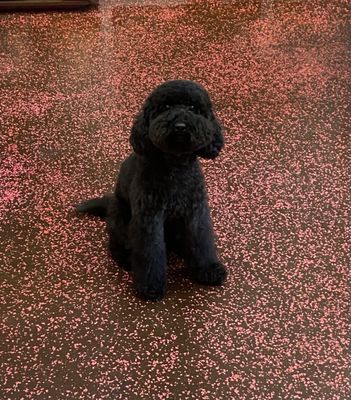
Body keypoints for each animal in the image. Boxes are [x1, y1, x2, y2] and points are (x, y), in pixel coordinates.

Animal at [77, 79, 228, 298]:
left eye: (193, 108)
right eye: (166, 107)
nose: (180, 126)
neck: (175, 166)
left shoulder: (196, 213)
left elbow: (202, 241)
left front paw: (208, 270)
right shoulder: (148, 217)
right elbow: (150, 251)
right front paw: (150, 286)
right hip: (119, 218)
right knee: (115, 244)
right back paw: (125, 259)